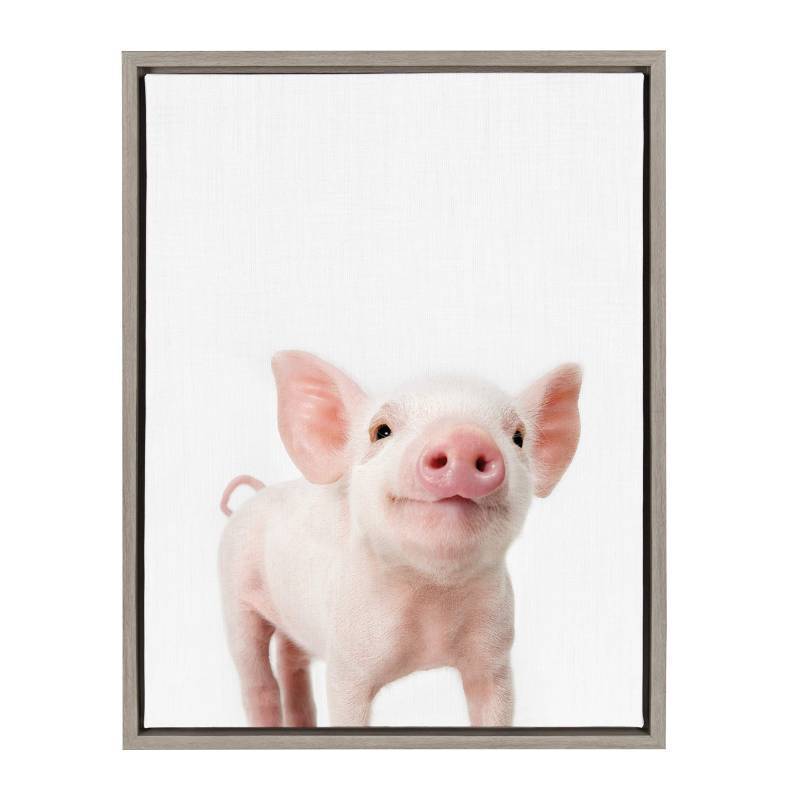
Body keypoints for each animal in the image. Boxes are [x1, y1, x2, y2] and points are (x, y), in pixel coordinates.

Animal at [218, 350, 582, 727]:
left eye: (518, 437)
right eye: (381, 431)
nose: (464, 437)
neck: (433, 599)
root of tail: (256, 495)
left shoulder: (495, 655)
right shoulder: (346, 663)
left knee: (292, 663)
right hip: (234, 593)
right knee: (256, 679)